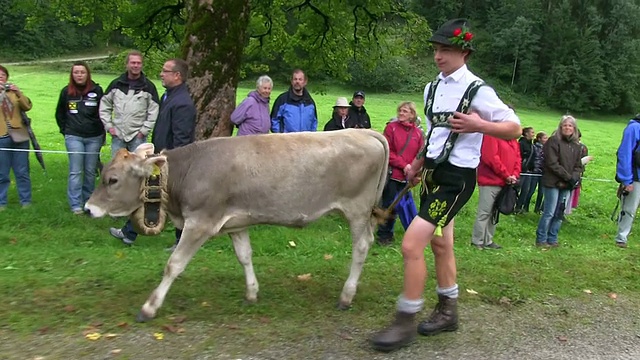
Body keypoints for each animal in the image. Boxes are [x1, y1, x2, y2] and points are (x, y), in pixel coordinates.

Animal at [85, 129, 390, 320]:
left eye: (112, 179)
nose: (88, 208)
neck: (189, 169)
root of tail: (365, 132)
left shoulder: (200, 222)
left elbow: (174, 264)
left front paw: (149, 308)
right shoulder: (236, 223)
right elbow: (244, 256)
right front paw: (251, 293)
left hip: (357, 210)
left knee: (361, 247)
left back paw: (346, 296)